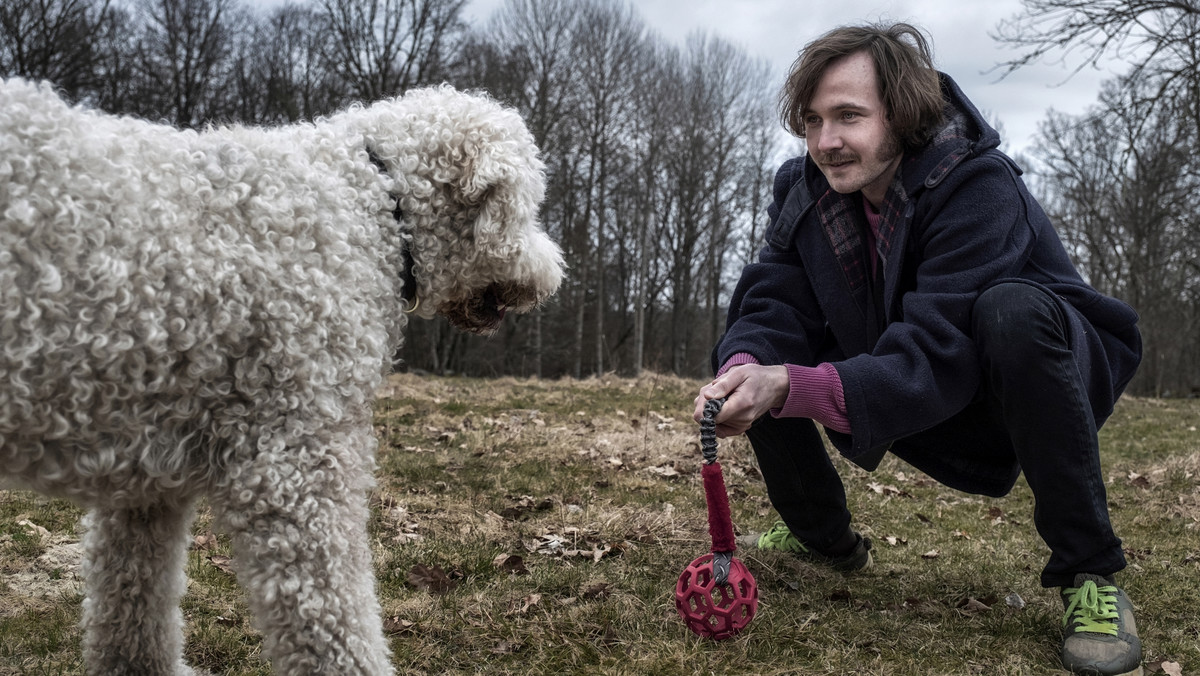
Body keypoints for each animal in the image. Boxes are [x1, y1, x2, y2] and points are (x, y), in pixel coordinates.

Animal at [0, 76, 564, 672]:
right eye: (529, 205)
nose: (551, 278)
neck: (374, 201)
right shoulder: (298, 460)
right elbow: (337, 624)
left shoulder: (147, 478)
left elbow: (133, 608)